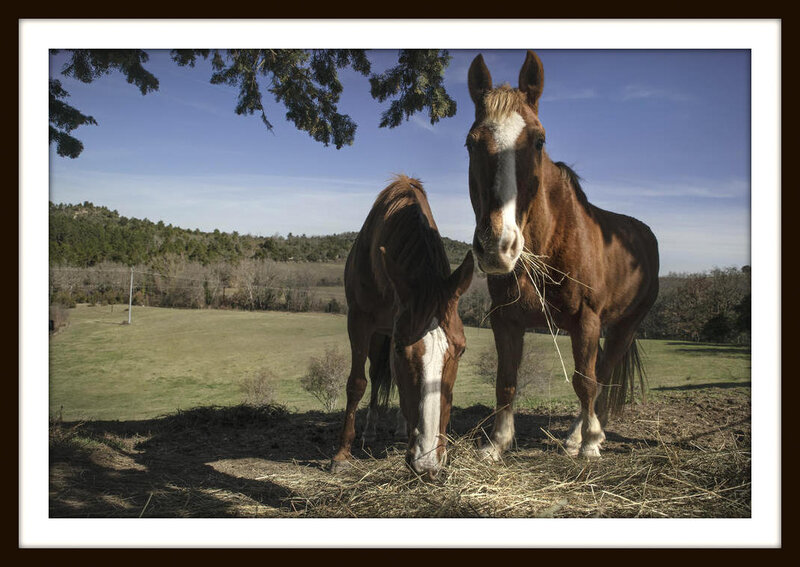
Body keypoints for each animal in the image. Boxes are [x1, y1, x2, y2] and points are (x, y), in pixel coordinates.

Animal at [332, 175, 476, 478]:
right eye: (400, 348)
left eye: (462, 350)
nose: (428, 463)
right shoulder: (360, 322)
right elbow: (357, 383)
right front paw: (341, 454)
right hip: (378, 334)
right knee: (375, 375)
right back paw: (370, 430)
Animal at [466, 52, 660, 462]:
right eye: (471, 143)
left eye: (539, 141)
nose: (497, 245)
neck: (550, 242)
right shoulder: (506, 321)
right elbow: (506, 380)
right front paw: (497, 443)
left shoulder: (586, 320)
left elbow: (585, 381)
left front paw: (589, 443)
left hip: (624, 326)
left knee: (602, 375)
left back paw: (586, 436)